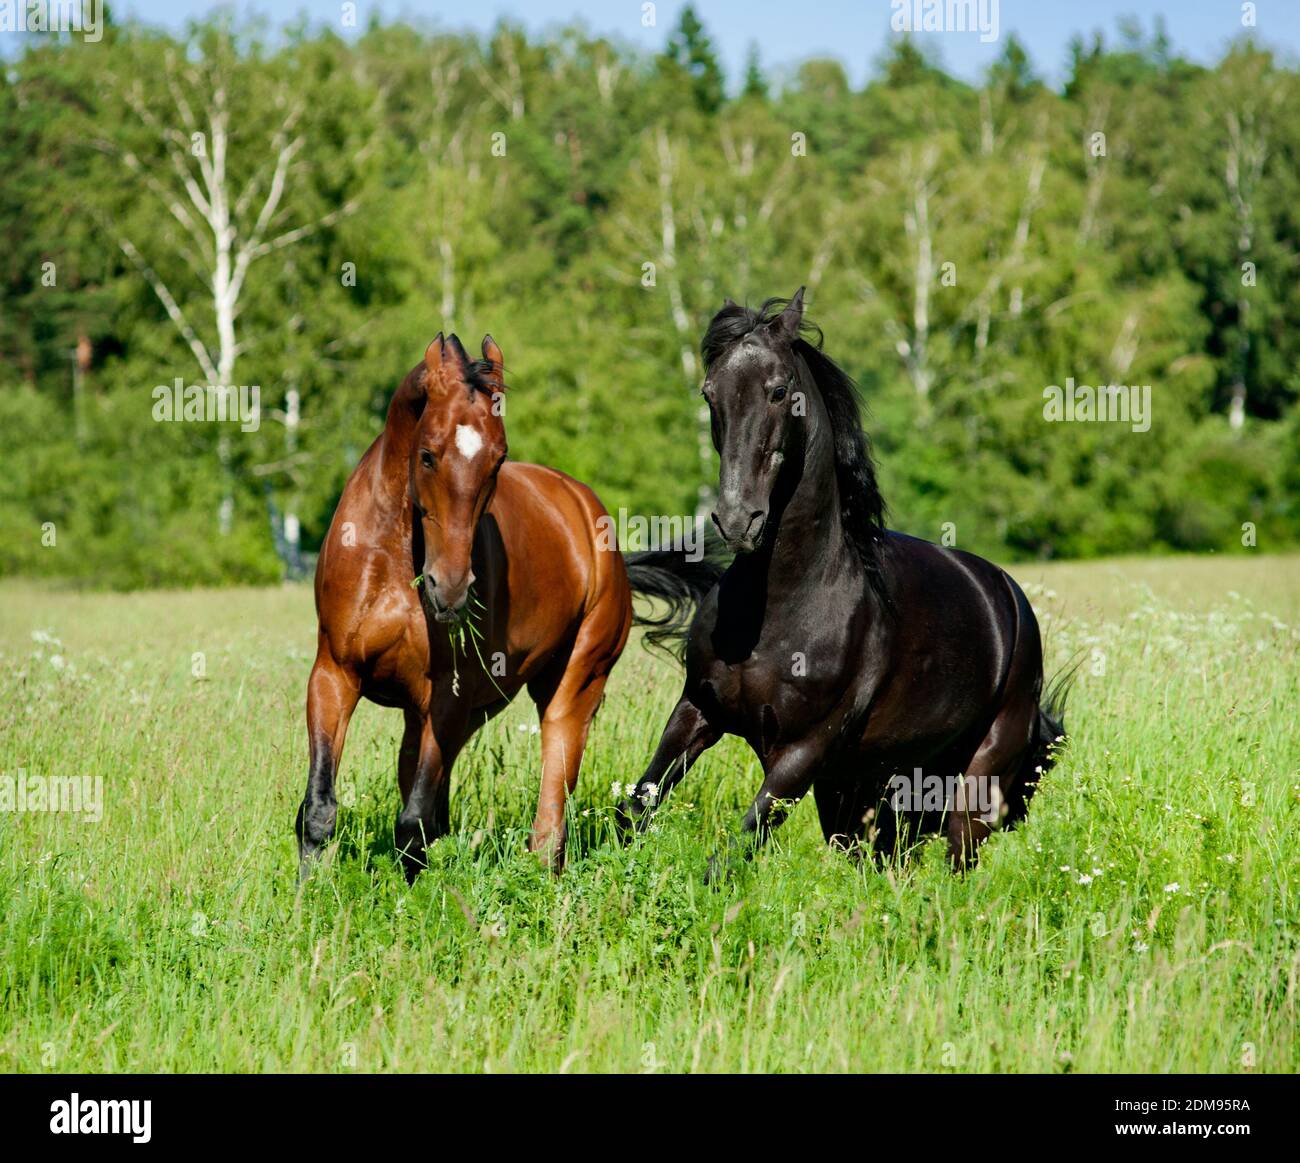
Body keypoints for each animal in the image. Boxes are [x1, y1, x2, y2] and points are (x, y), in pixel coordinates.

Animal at [297, 332, 711, 881]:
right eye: (426, 455)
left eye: (497, 460)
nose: (449, 589)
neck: (393, 556)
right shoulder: (335, 675)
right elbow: (320, 808)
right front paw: (307, 892)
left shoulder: (447, 697)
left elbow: (414, 821)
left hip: (572, 686)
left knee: (552, 800)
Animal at [619, 290, 1069, 877]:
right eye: (709, 392)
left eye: (778, 391)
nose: (737, 520)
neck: (782, 604)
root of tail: (1009, 598)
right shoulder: (698, 709)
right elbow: (637, 808)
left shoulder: (802, 752)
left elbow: (734, 851)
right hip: (878, 783)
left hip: (975, 775)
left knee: (957, 859)